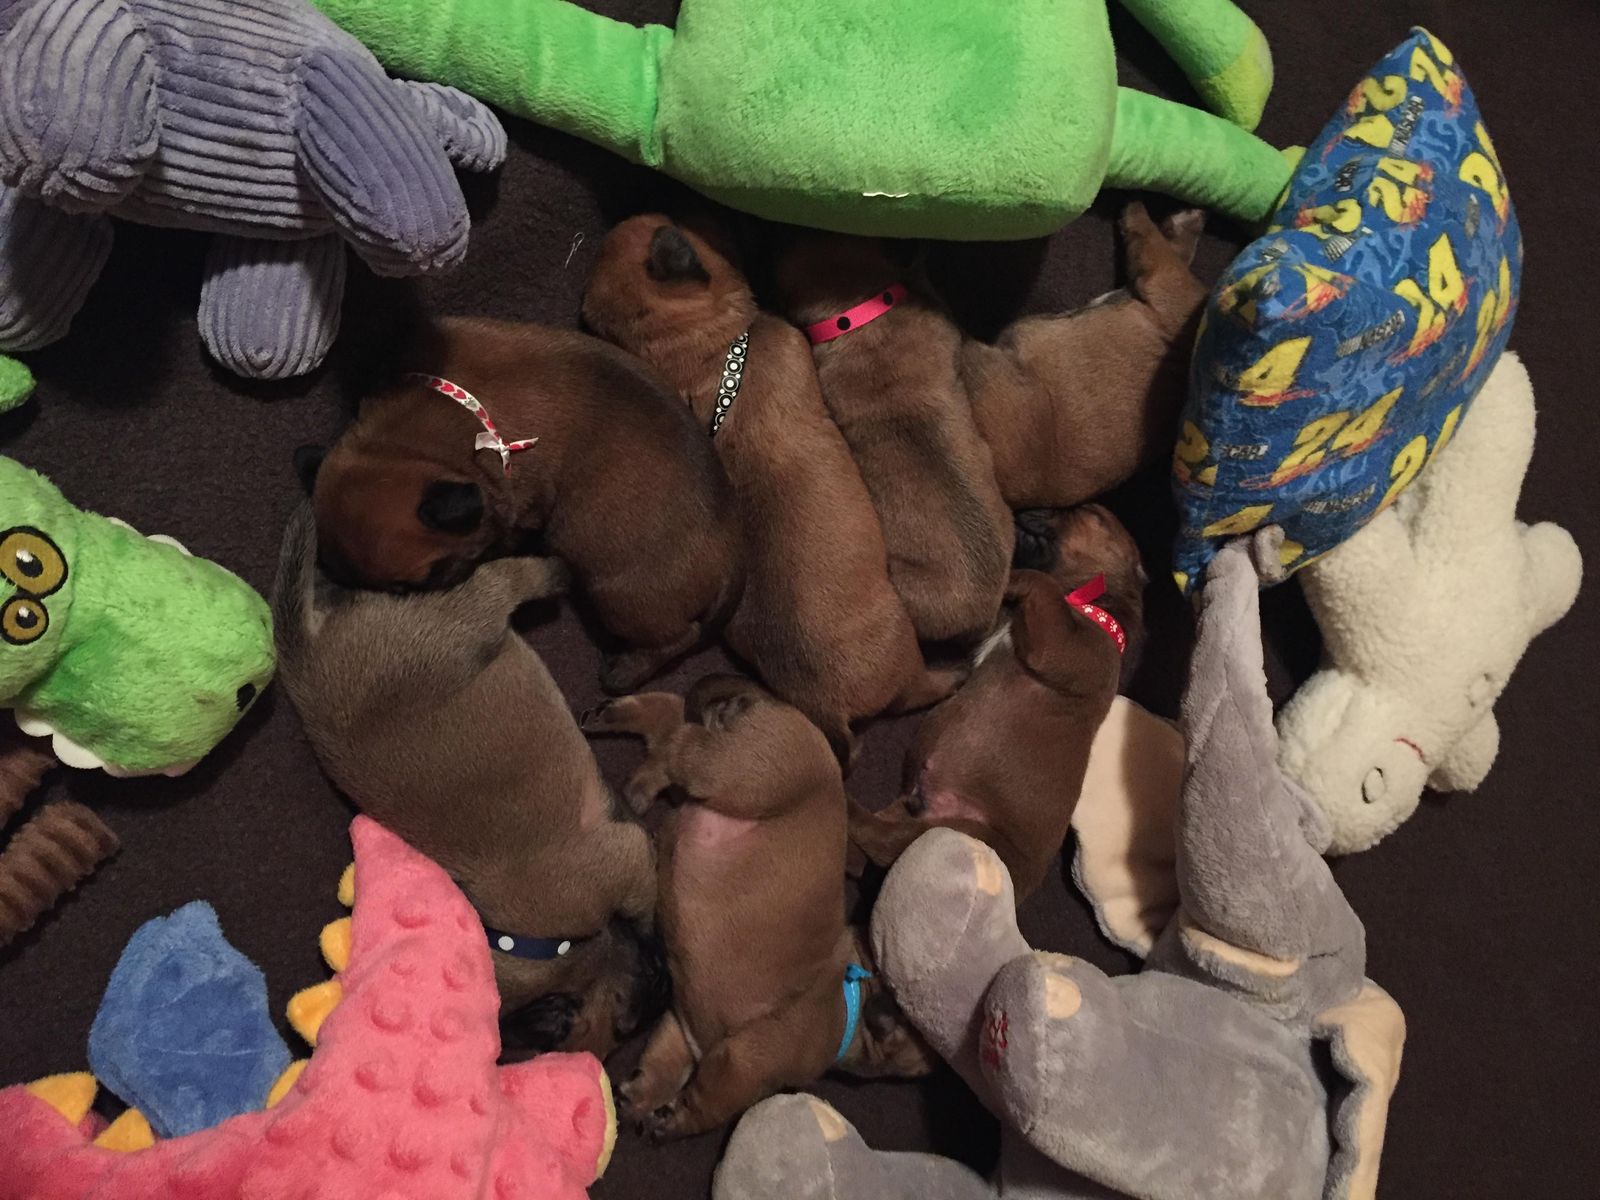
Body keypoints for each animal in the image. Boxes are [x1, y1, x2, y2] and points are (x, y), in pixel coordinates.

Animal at [272, 504, 663, 1058]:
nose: (665, 982)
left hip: (460, 621)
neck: (536, 943)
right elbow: (645, 899)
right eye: (628, 1025)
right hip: (466, 614)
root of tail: (304, 667)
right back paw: (555, 570)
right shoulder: (624, 858)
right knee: (510, 578)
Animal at [583, 676, 935, 1141]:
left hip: (725, 762)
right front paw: (678, 1121)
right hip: (742, 774)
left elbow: (665, 1064)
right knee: (682, 742)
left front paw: (641, 1097)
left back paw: (624, 734)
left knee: (673, 722)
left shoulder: (685, 1027)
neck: (852, 991)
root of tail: (779, 706)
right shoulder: (745, 1065)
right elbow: (711, 1105)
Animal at [847, 505, 1147, 902]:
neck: (1089, 597)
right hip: (910, 812)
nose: (1027, 509)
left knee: (878, 839)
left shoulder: (1066, 647)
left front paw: (1012, 577)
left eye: (1083, 512)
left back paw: (846, 805)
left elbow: (1043, 583)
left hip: (955, 831)